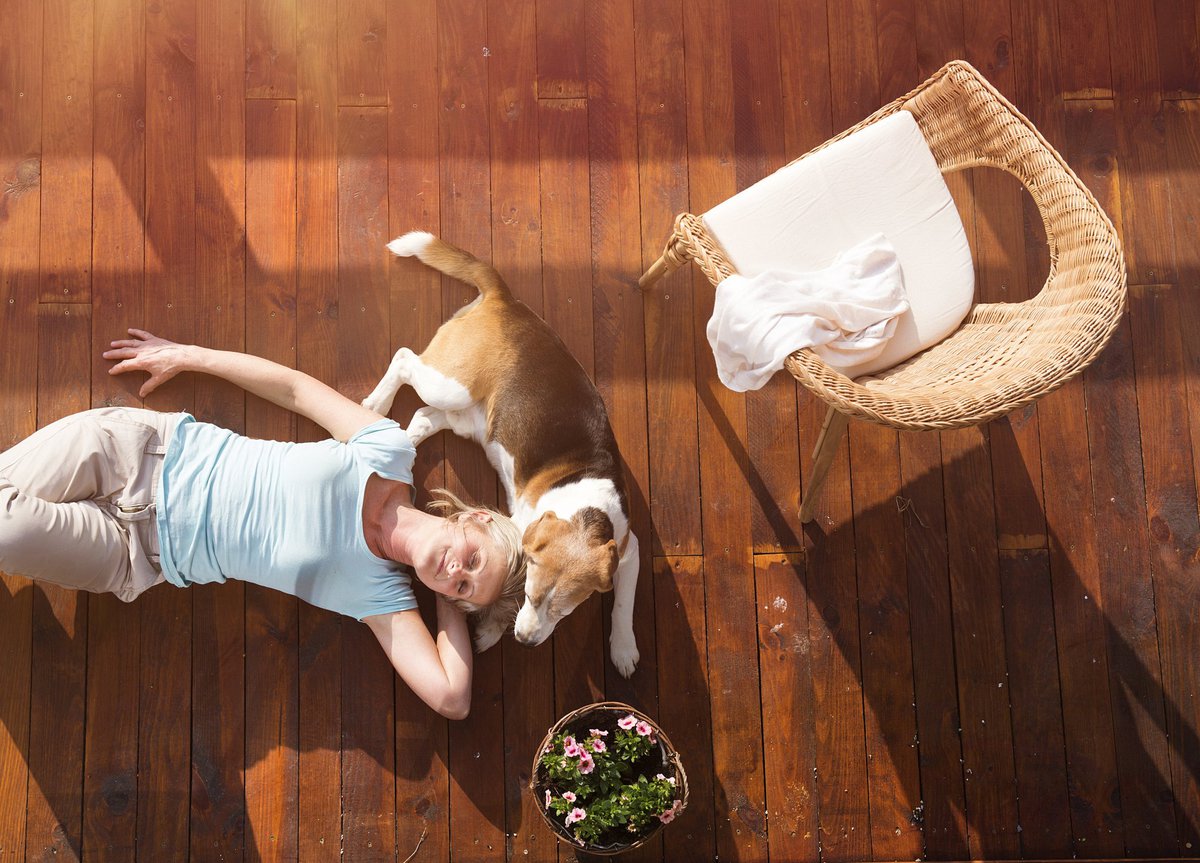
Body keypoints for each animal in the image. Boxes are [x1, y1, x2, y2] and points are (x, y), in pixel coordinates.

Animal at [362, 232, 643, 676]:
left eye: (565, 611)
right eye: (530, 594)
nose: (525, 642)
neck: (585, 513)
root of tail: (504, 299)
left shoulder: (629, 552)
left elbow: (623, 604)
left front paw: (623, 647)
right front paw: (493, 631)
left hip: (468, 416)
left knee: (423, 417)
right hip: (450, 384)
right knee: (405, 359)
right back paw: (377, 402)